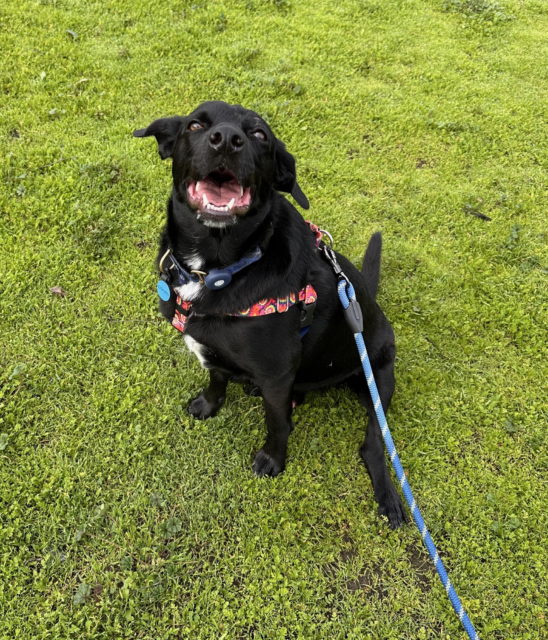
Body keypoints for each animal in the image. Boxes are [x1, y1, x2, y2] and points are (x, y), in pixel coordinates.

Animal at [134, 102, 404, 528]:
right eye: (195, 124)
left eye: (260, 135)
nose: (227, 140)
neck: (215, 268)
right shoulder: (216, 352)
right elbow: (216, 377)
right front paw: (209, 405)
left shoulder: (277, 375)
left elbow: (276, 424)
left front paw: (272, 460)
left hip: (379, 379)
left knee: (374, 446)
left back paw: (390, 499)